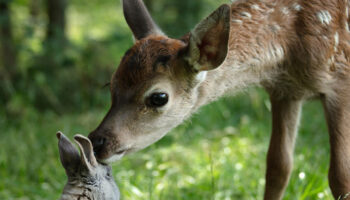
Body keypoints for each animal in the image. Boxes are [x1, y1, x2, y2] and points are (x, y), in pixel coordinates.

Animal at [88, 0, 350, 198]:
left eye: (159, 97)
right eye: (110, 84)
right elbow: (278, 167)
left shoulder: (339, 81)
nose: (97, 142)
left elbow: (340, 175)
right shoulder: (284, 91)